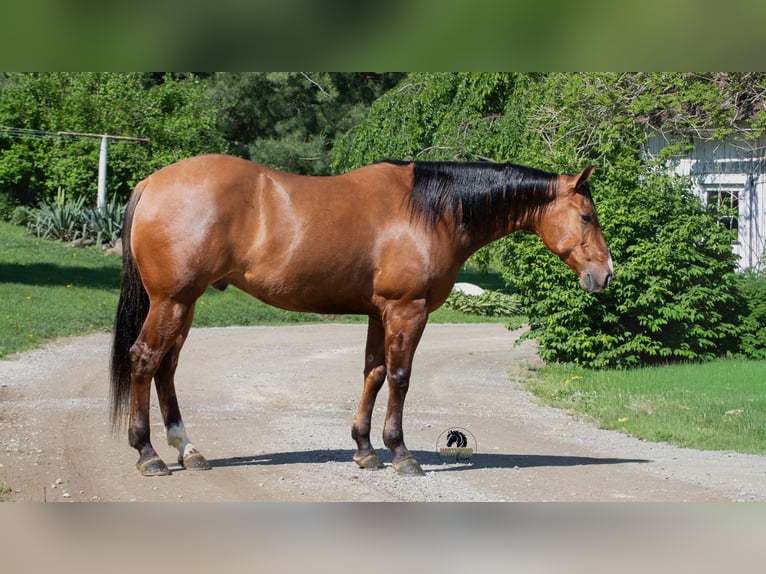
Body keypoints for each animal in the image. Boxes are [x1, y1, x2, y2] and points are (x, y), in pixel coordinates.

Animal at [110, 154, 613, 477]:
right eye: (587, 216)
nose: (605, 275)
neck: (433, 211)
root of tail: (150, 184)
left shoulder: (378, 312)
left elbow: (373, 373)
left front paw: (366, 450)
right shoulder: (407, 311)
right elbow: (400, 378)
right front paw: (401, 453)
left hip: (184, 303)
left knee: (166, 367)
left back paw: (188, 450)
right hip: (172, 300)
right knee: (144, 359)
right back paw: (148, 454)